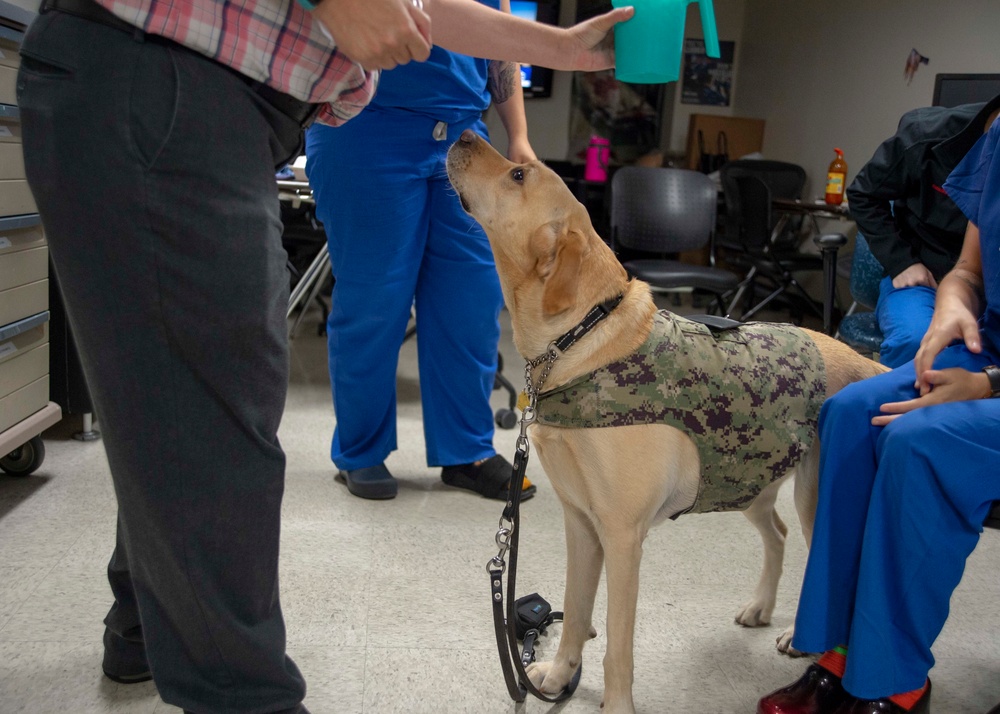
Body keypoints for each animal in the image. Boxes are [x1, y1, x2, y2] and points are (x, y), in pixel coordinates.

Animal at [446, 129, 884, 712]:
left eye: (518, 174)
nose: (463, 133)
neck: (580, 340)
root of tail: (872, 365)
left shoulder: (622, 537)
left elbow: (616, 643)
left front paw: (616, 704)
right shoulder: (580, 524)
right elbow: (575, 612)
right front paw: (560, 676)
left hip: (819, 499)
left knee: (831, 572)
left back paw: (807, 639)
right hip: (748, 482)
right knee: (779, 534)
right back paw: (762, 608)